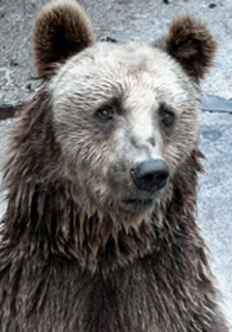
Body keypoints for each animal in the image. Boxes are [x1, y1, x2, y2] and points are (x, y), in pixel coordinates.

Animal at [0, 0, 228, 330]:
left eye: (166, 113)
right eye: (107, 109)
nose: (150, 172)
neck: (107, 247)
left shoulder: (171, 297)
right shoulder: (37, 293)